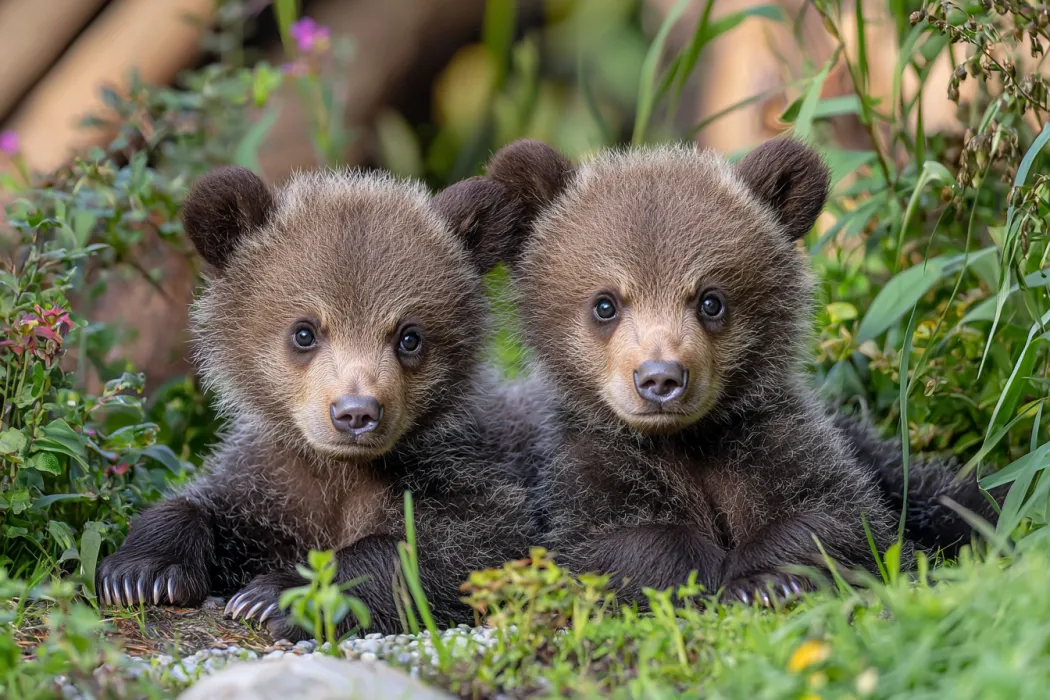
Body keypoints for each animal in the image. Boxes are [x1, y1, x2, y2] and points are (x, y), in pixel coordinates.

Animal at [94, 165, 553, 639]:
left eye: (410, 336)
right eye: (304, 331)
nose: (355, 412)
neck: (344, 470)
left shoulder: (472, 474)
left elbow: (460, 547)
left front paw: (275, 595)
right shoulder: (274, 484)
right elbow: (212, 505)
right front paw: (142, 571)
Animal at [468, 137, 1001, 605]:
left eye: (711, 299)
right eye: (605, 303)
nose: (660, 378)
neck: (686, 440)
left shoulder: (778, 441)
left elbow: (839, 519)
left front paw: (765, 581)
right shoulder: (590, 469)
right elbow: (613, 544)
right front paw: (707, 574)